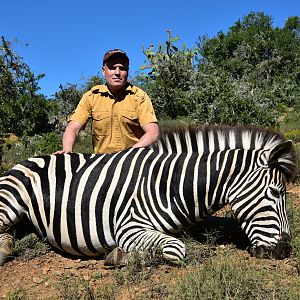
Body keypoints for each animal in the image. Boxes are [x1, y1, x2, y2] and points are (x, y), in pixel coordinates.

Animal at [0, 124, 296, 264]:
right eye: (275, 192)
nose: (285, 251)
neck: (170, 185)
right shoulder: (128, 227)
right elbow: (177, 249)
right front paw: (119, 257)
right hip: (11, 201)